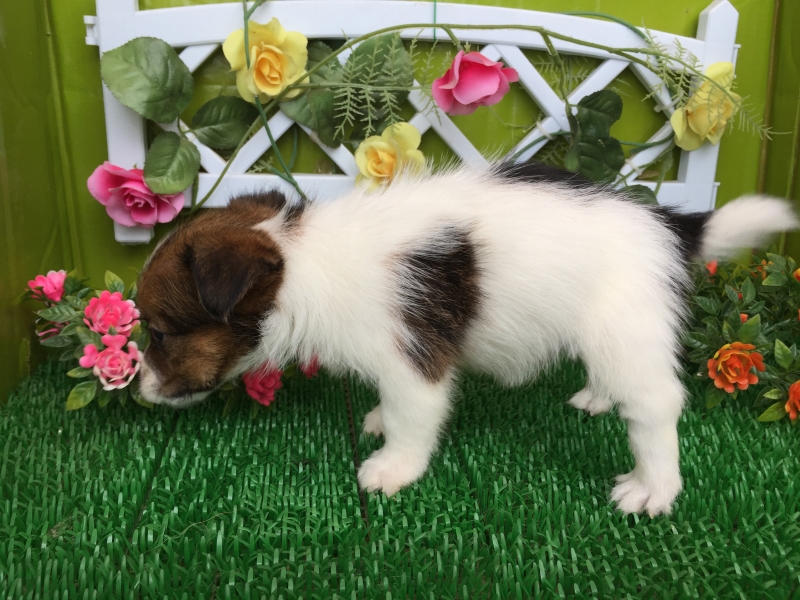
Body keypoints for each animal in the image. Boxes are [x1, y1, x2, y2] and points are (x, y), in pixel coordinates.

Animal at [137, 162, 797, 516]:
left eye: (158, 331)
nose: (139, 389)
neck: (300, 265)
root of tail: (669, 223)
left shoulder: (412, 359)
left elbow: (413, 418)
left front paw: (392, 469)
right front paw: (376, 421)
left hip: (622, 325)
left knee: (657, 405)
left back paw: (654, 490)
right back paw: (598, 398)